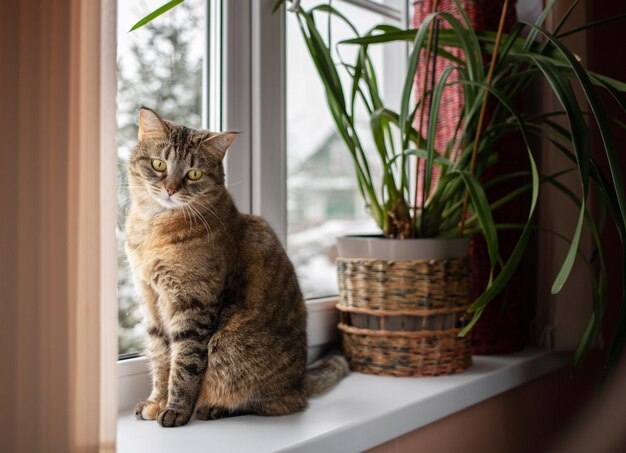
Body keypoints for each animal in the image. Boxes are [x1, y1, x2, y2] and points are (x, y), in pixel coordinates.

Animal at [124, 107, 348, 426]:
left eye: (194, 173)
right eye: (159, 164)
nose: (170, 188)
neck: (154, 228)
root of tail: (300, 380)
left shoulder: (192, 304)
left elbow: (184, 364)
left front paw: (175, 409)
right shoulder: (150, 301)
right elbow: (159, 358)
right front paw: (156, 402)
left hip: (236, 352)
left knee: (279, 403)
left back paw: (214, 408)